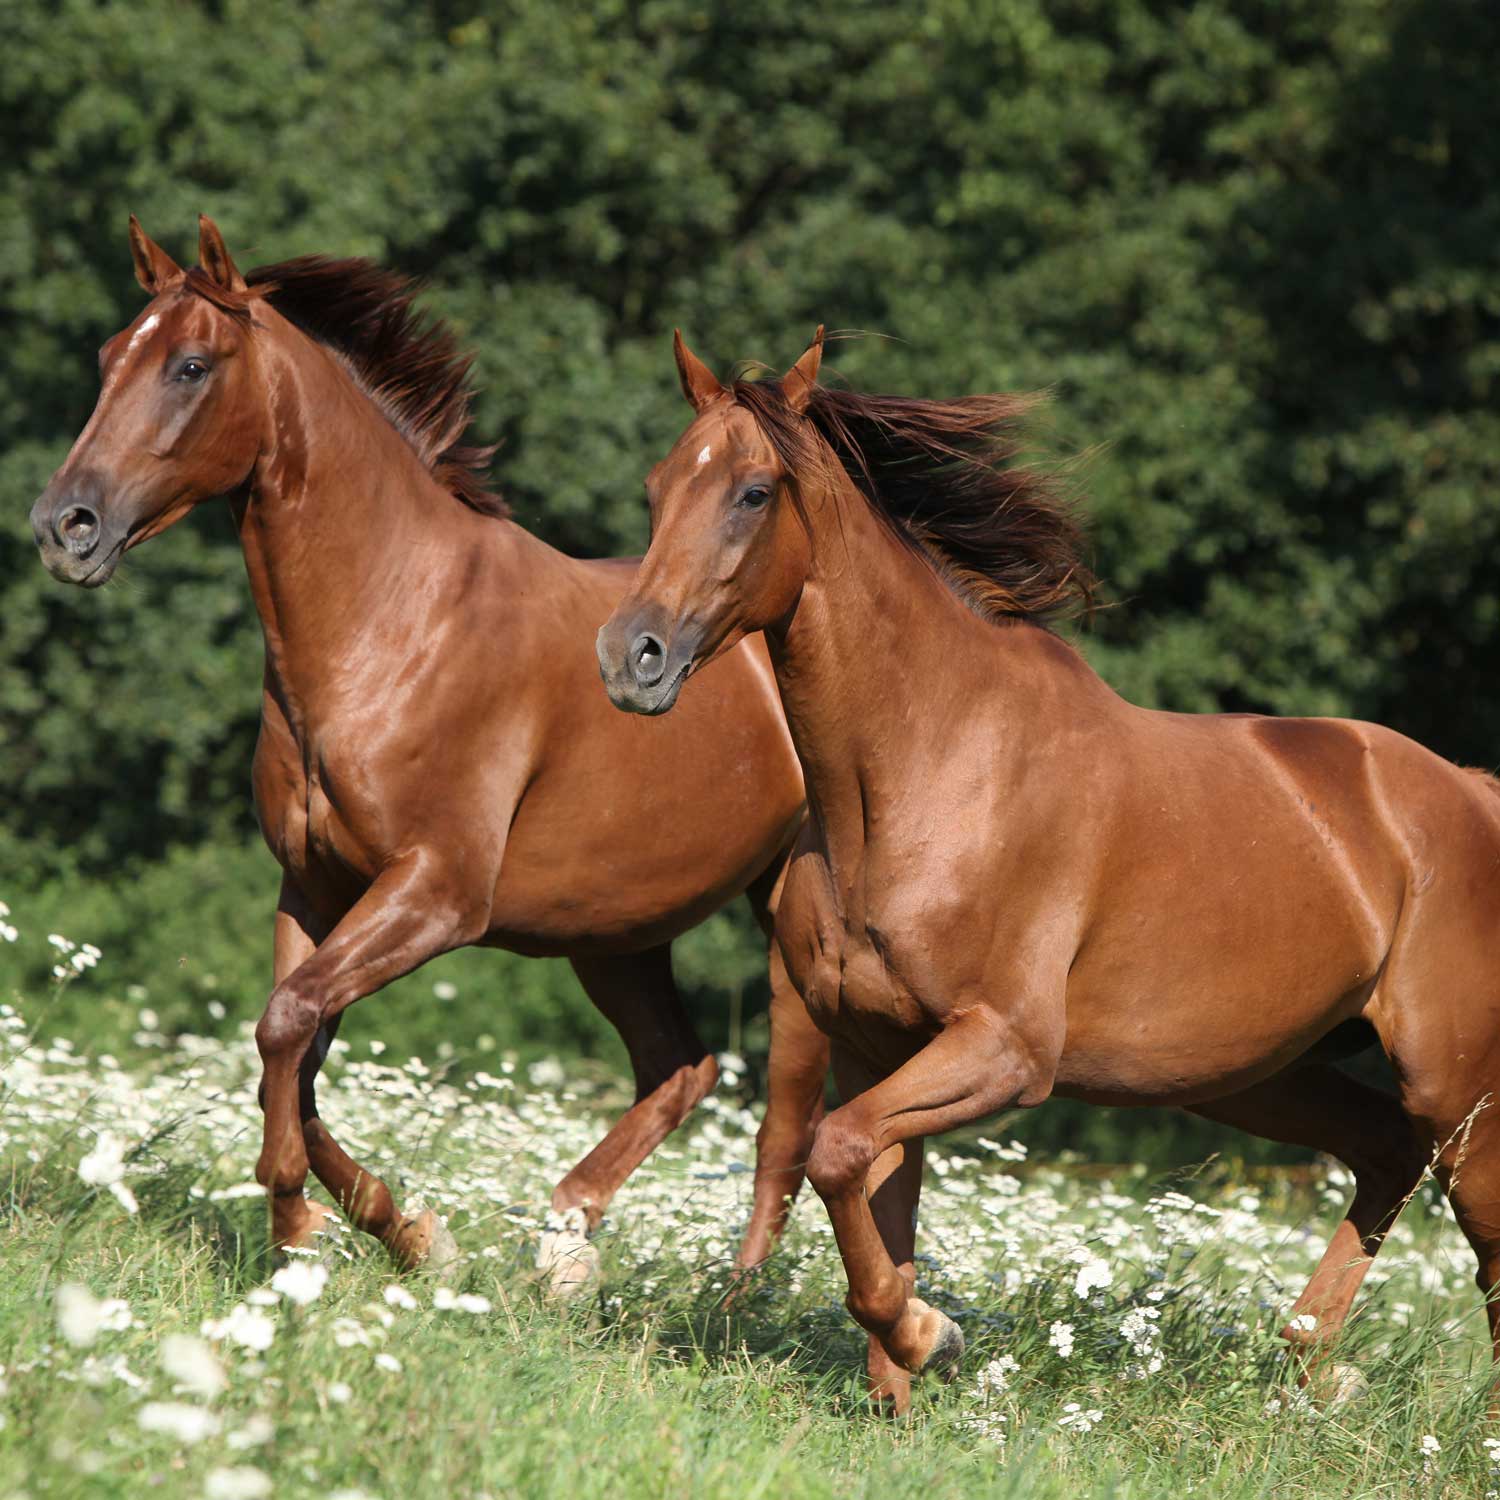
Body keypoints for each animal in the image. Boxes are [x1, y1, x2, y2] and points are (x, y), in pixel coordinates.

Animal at [29, 216, 830, 1292]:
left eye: (191, 366)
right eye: (110, 355)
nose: (63, 527)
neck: (392, 625)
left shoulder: (436, 893)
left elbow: (286, 1028)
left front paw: (304, 1232)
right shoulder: (317, 887)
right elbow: (291, 1054)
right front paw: (402, 1233)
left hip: (790, 921)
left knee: (787, 1117)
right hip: (615, 930)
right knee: (682, 1066)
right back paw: (565, 1250)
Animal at [597, 326, 1500, 1413]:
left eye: (753, 493)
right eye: (656, 489)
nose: (631, 657)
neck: (927, 771)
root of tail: (1473, 795)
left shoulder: (1005, 1050)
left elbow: (835, 1152)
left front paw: (929, 1334)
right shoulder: (877, 1048)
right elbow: (868, 1193)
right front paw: (904, 1377)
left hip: (1460, 1096)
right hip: (1257, 1076)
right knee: (1382, 1152)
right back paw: (1309, 1360)